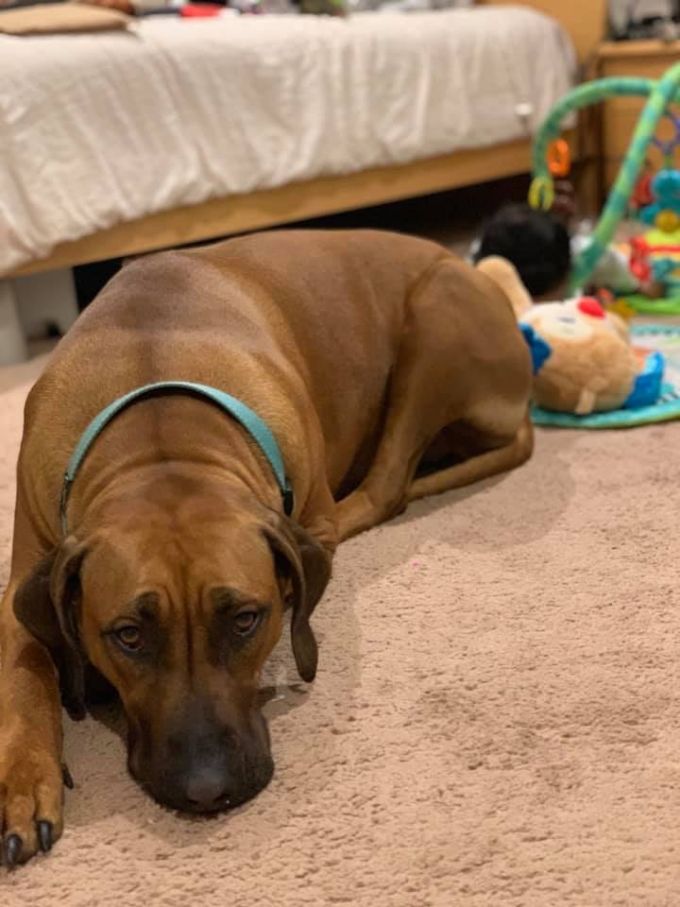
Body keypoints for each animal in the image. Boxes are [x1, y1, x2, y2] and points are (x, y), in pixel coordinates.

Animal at [0, 230, 533, 866]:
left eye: (246, 620)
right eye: (128, 635)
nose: (208, 789)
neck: (158, 431)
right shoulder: (23, 579)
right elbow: (24, 676)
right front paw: (24, 782)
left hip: (433, 321)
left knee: (387, 488)